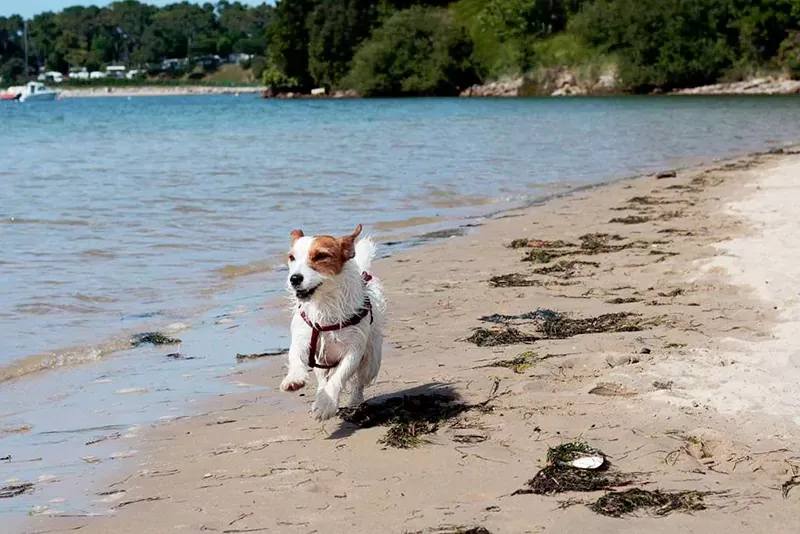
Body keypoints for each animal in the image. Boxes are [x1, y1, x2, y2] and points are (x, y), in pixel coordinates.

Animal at [280, 224, 386, 420]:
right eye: (292, 257)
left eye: (321, 256)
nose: (294, 278)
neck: (324, 302)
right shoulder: (304, 339)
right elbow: (295, 355)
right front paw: (294, 378)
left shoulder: (354, 349)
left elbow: (340, 376)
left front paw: (326, 404)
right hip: (321, 360)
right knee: (323, 378)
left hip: (371, 362)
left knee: (359, 382)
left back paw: (354, 401)